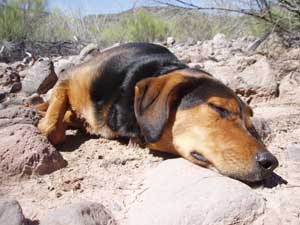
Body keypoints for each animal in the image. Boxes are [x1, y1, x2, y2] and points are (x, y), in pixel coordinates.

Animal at [37, 42, 278, 183]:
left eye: (250, 127)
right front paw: (48, 123)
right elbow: (52, 127)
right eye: (219, 108)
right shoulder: (70, 76)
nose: (271, 162)